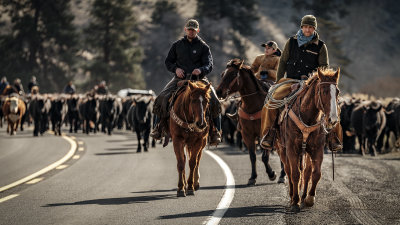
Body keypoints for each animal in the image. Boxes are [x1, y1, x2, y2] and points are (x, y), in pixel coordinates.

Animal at [276, 67, 340, 212]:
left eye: (337, 92)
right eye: (323, 91)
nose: (333, 119)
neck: (307, 117)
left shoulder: (317, 149)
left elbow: (315, 173)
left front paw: (309, 198)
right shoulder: (291, 149)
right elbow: (295, 174)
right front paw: (295, 201)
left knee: (306, 172)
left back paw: (304, 196)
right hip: (282, 150)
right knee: (289, 171)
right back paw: (292, 196)